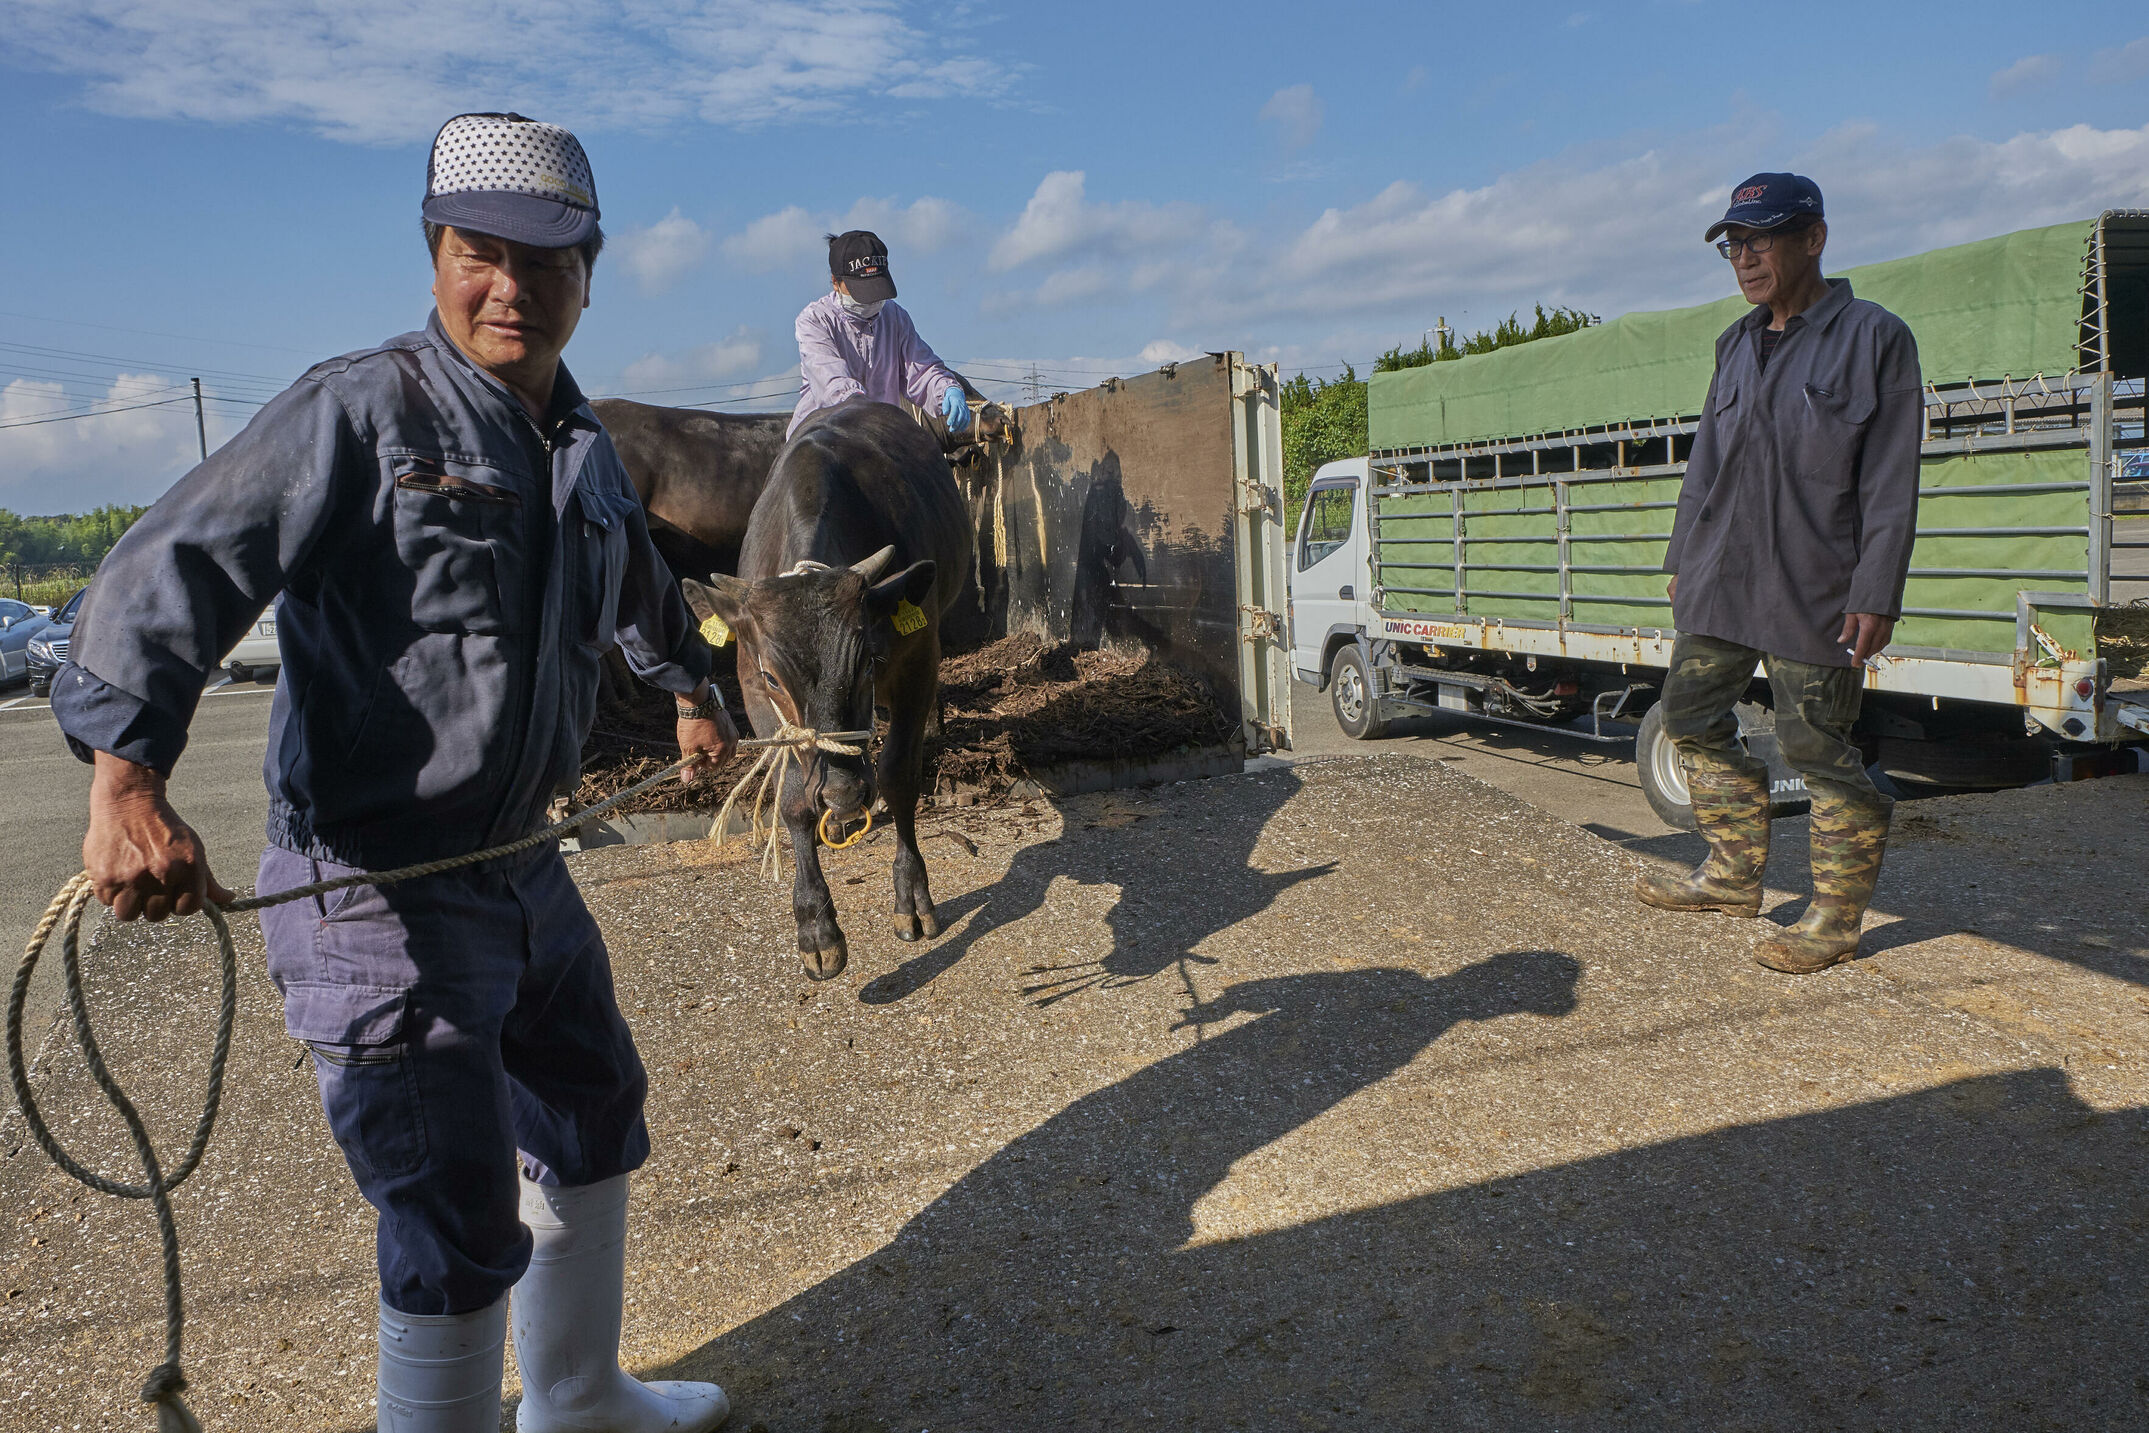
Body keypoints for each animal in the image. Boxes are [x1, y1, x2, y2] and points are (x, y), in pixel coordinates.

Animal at [683, 403, 971, 988]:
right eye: (773, 677)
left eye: (868, 661)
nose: (841, 791)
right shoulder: (752, 689)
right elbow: (792, 799)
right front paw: (816, 928)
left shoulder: (917, 660)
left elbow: (898, 777)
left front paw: (912, 896)